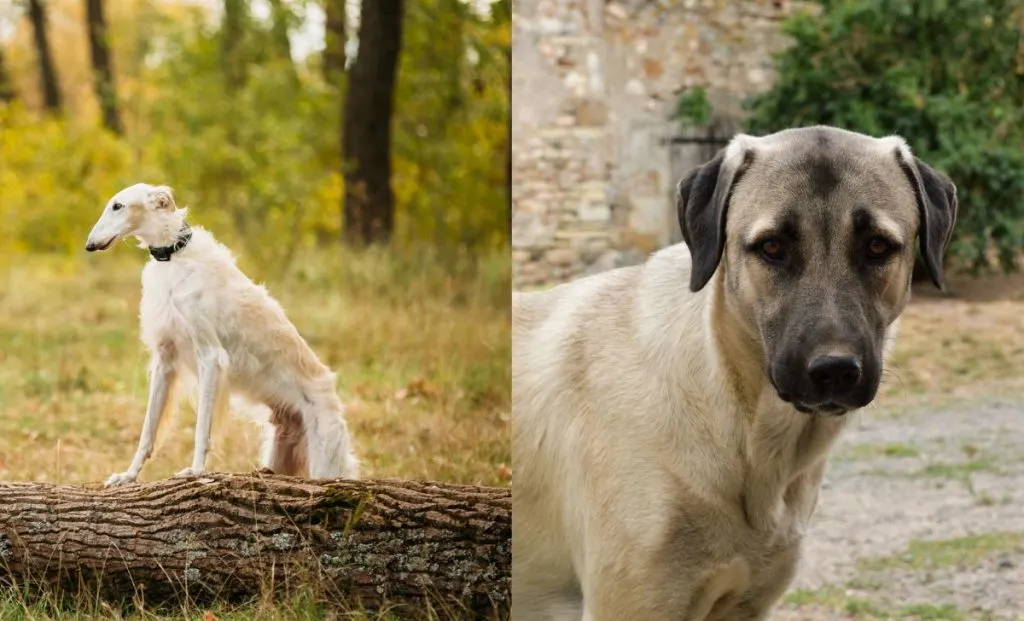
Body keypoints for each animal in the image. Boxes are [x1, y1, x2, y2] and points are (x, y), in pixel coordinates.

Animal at [86, 182, 362, 489]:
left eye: (117, 206)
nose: (89, 245)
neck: (175, 256)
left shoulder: (210, 357)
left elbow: (201, 429)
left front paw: (195, 471)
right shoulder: (165, 361)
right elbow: (147, 433)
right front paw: (127, 476)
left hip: (324, 456)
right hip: (281, 450)